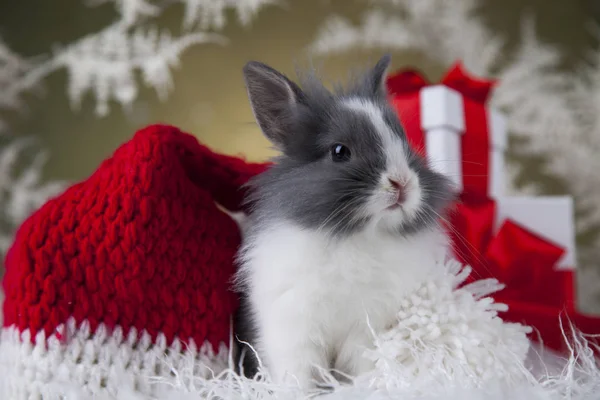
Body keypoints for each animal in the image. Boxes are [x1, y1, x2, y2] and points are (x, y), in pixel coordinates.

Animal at [233, 54, 454, 390]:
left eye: (404, 142)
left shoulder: (367, 330)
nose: (402, 183)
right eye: (339, 152)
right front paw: (299, 393)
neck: (355, 237)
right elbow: (299, 373)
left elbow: (363, 365)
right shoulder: (294, 332)